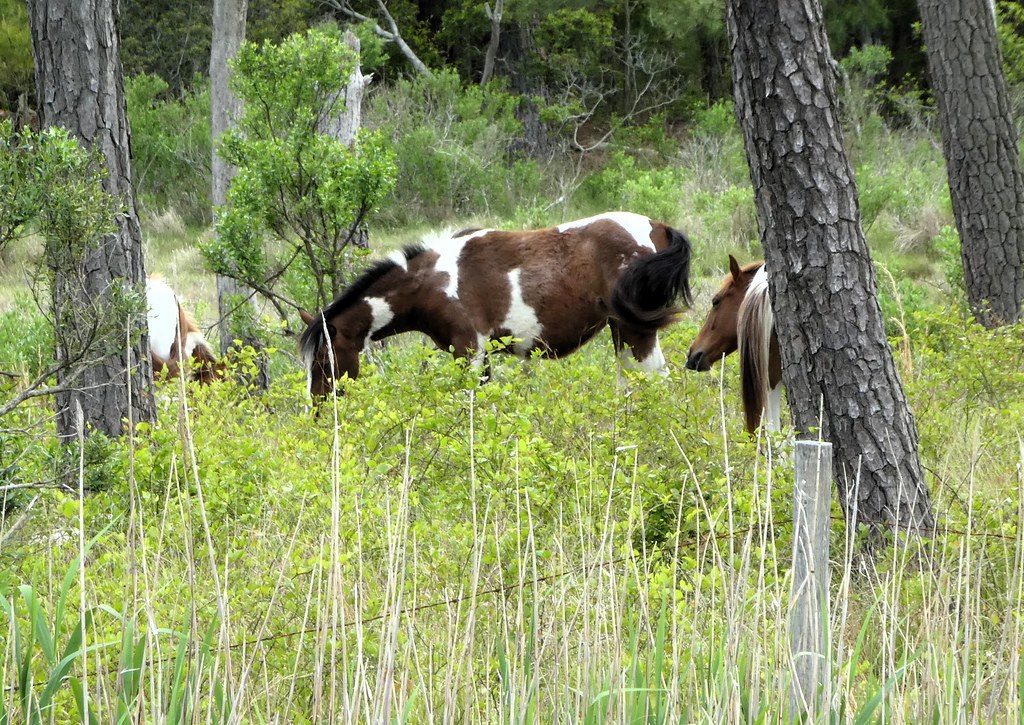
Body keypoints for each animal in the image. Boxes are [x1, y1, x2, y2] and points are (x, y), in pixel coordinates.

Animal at [299, 211, 694, 396]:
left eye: (324, 363)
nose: (318, 409)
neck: (434, 281)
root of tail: (656, 226)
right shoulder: (479, 352)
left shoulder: (468, 349)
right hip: (621, 330)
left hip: (636, 329)